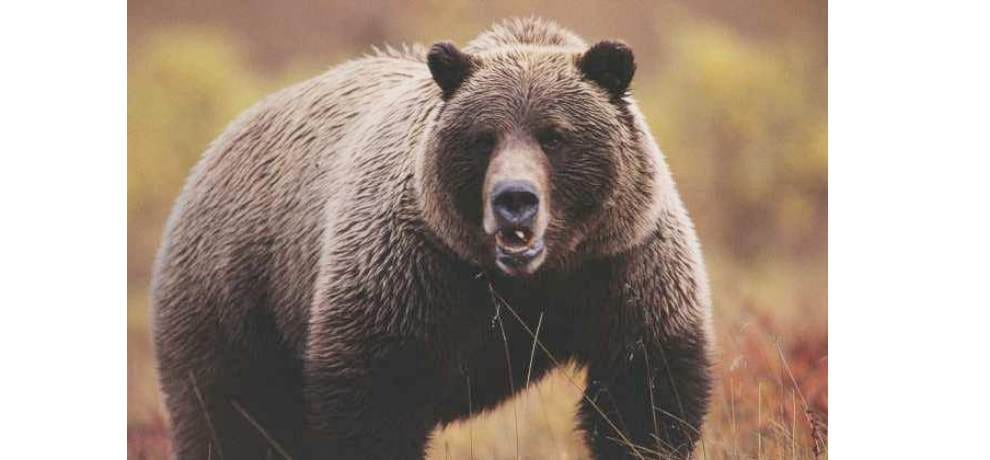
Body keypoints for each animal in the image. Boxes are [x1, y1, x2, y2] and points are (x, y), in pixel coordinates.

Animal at [151, 17, 713, 460]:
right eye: (484, 138)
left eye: (554, 136)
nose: (514, 198)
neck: (526, 281)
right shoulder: (411, 270)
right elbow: (375, 403)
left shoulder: (622, 264)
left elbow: (642, 399)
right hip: (236, 291)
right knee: (231, 414)